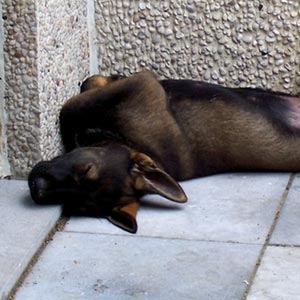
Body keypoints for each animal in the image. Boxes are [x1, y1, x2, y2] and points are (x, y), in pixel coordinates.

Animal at [28, 69, 300, 232]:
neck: (132, 142)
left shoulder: (142, 84)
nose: (35, 186)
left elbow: (71, 109)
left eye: (86, 170)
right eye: (74, 205)